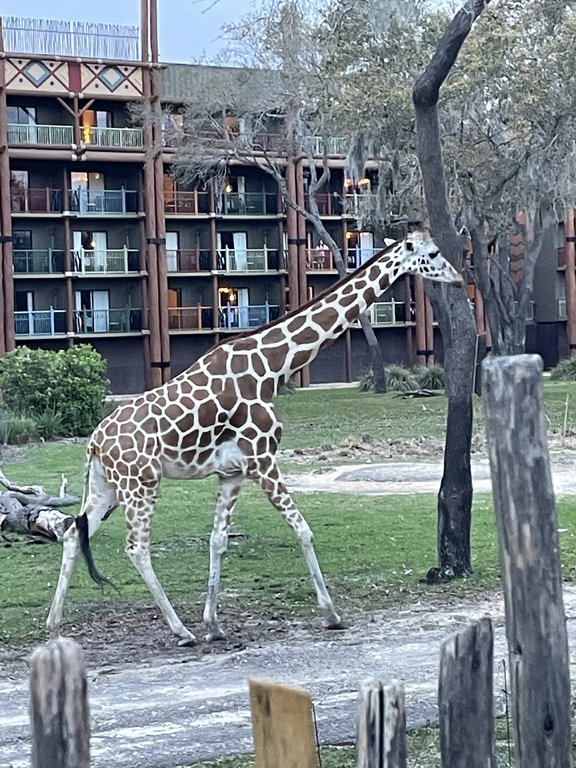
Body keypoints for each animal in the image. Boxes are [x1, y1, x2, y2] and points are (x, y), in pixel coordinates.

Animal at [46, 230, 463, 646]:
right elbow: (303, 530)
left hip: (107, 488)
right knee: (136, 548)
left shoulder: (232, 472)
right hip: (141, 484)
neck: (273, 368)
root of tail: (94, 442)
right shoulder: (263, 460)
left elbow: (218, 541)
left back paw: (54, 625)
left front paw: (214, 624)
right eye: (433, 253)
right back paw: (181, 630)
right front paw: (331, 615)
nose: (458, 279)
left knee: (72, 533)